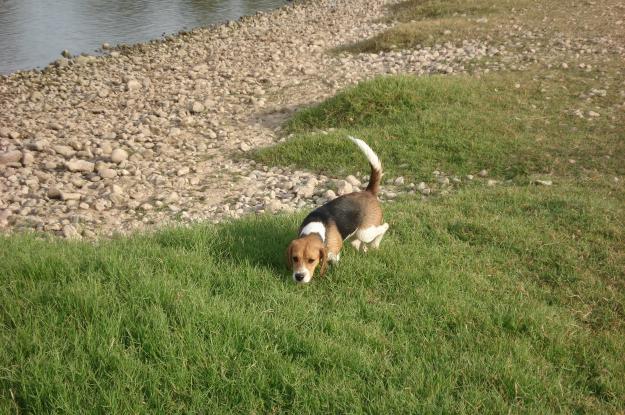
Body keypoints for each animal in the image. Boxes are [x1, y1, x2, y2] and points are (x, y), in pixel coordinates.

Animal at [286, 136, 388, 282]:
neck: (316, 228)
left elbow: (334, 262)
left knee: (384, 227)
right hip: (356, 235)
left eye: (311, 260)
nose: (299, 277)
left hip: (365, 231)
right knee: (360, 244)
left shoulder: (333, 253)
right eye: (295, 258)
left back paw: (375, 245)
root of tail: (368, 192)